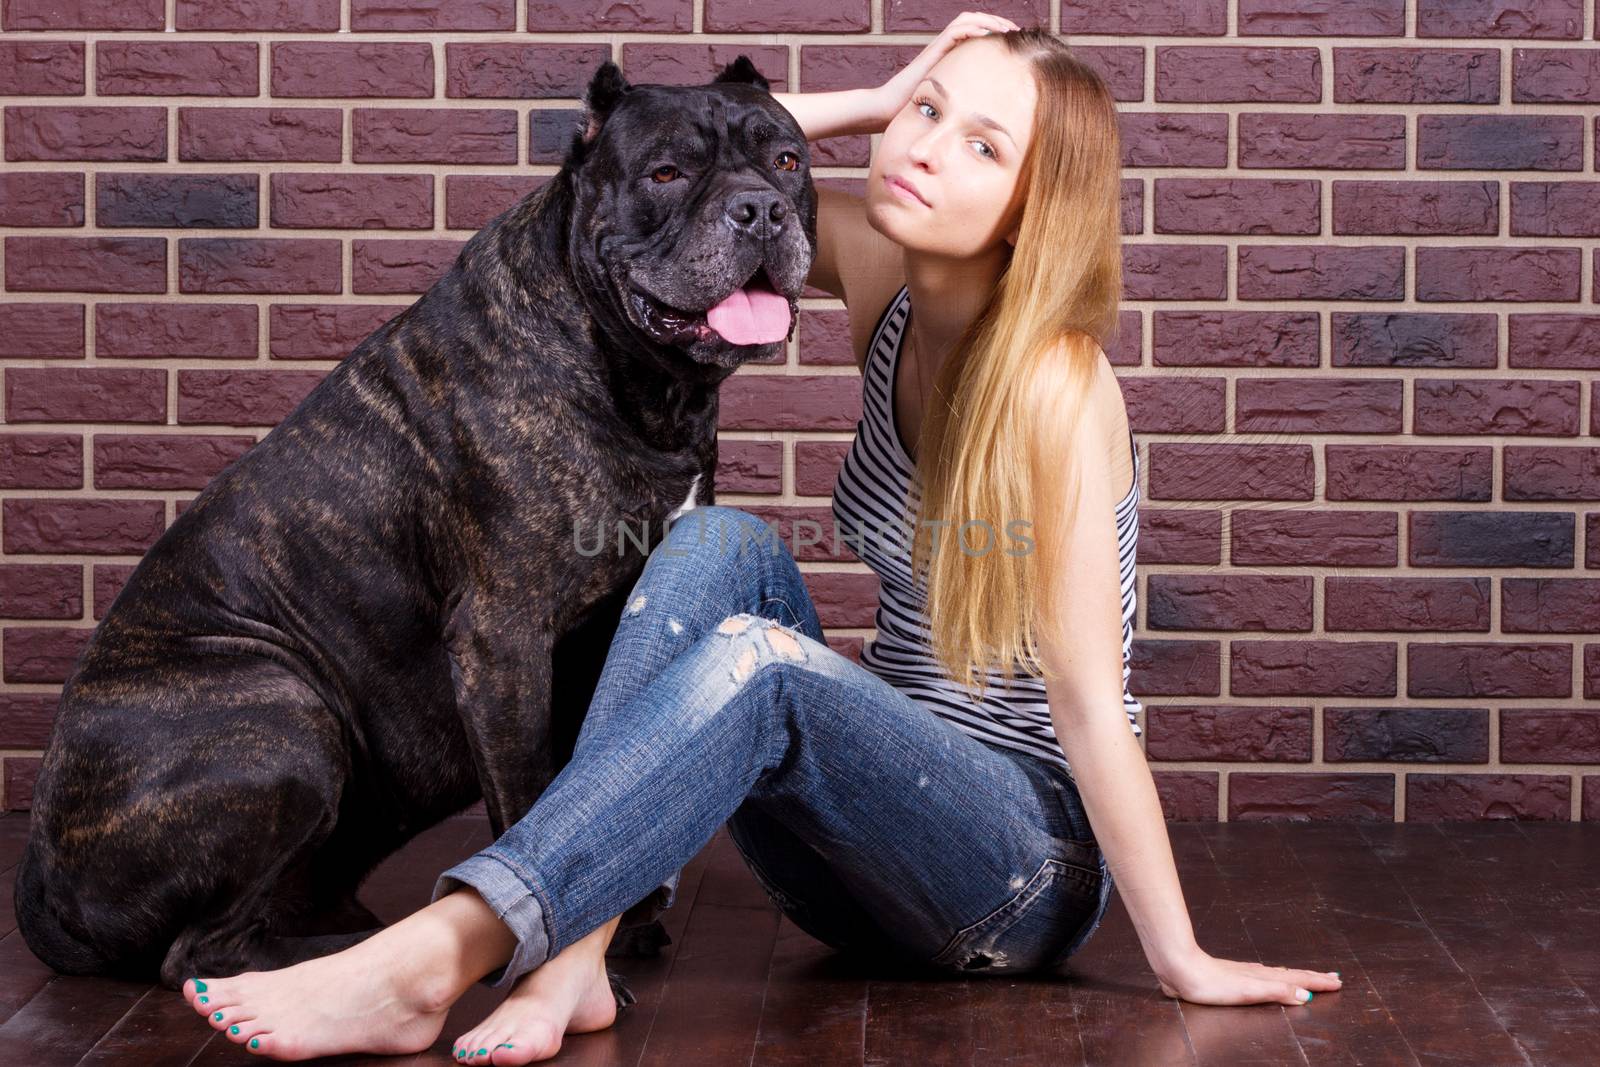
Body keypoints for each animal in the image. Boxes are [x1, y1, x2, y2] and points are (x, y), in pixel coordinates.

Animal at [18, 56, 825, 1011]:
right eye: (665, 173)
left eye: (785, 160)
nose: (760, 209)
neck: (636, 377)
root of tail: (41, 878)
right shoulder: (503, 639)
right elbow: (532, 794)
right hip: (285, 721)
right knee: (201, 951)